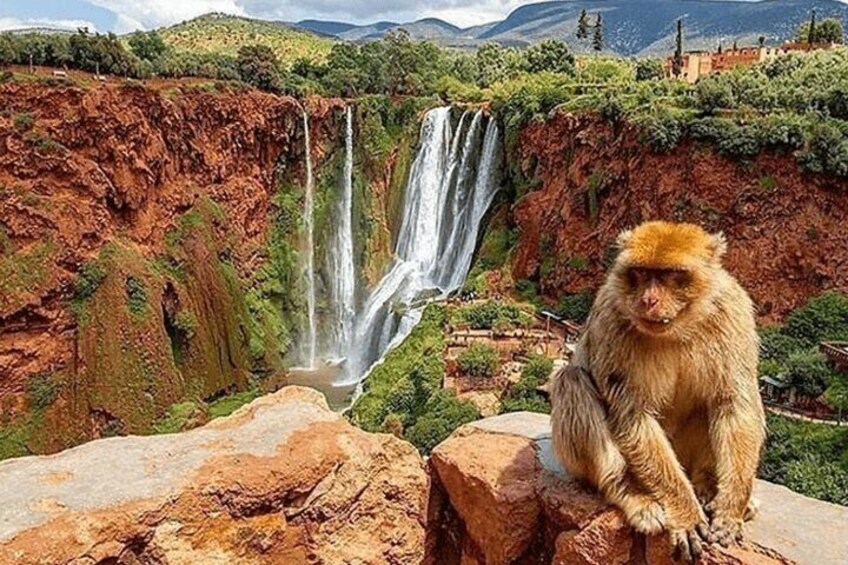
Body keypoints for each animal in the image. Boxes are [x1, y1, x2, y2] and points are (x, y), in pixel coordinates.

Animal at [552, 220, 764, 560]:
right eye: (640, 272)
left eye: (670, 275)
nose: (648, 300)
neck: (679, 327)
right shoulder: (611, 317)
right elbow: (633, 415)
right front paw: (686, 513)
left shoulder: (733, 312)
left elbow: (733, 405)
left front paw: (731, 508)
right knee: (570, 380)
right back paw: (633, 494)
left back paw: (707, 487)